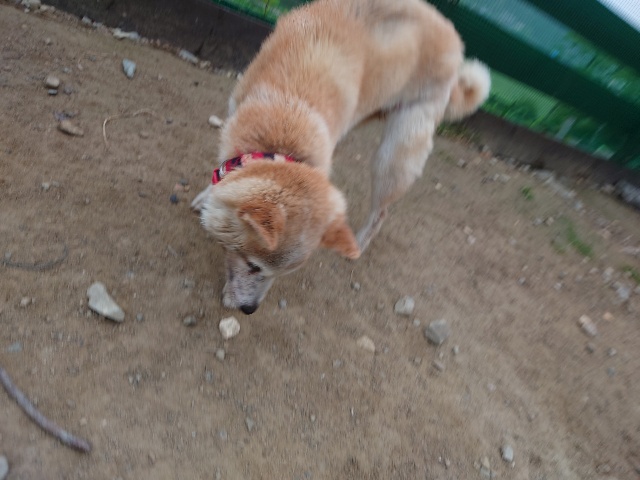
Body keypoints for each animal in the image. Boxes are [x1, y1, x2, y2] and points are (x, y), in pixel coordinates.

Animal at [192, 0, 491, 314]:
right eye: (252, 265)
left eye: (280, 274)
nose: (250, 309)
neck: (287, 113)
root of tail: (455, 40)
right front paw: (208, 195)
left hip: (394, 155)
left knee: (381, 211)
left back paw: (358, 244)